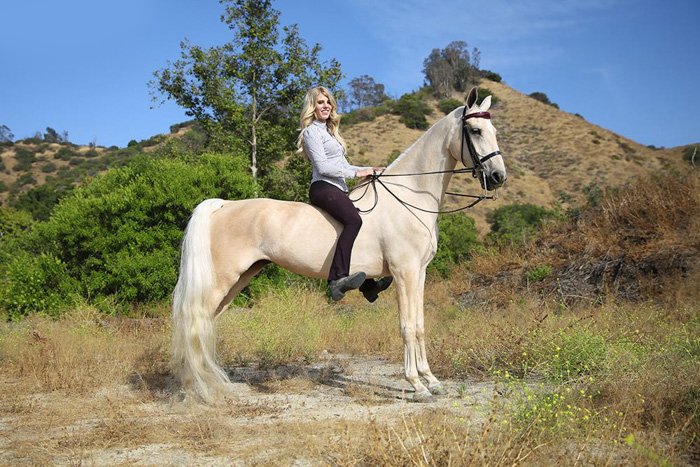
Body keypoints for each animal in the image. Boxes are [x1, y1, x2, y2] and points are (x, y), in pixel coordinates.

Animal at [172, 87, 506, 402]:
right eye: (475, 130)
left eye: (494, 130)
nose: (498, 176)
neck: (410, 195)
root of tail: (223, 205)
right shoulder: (405, 272)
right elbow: (407, 326)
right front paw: (417, 385)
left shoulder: (419, 273)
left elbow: (421, 325)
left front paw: (432, 381)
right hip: (222, 280)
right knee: (194, 323)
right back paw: (197, 389)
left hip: (240, 279)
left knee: (205, 324)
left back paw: (205, 385)